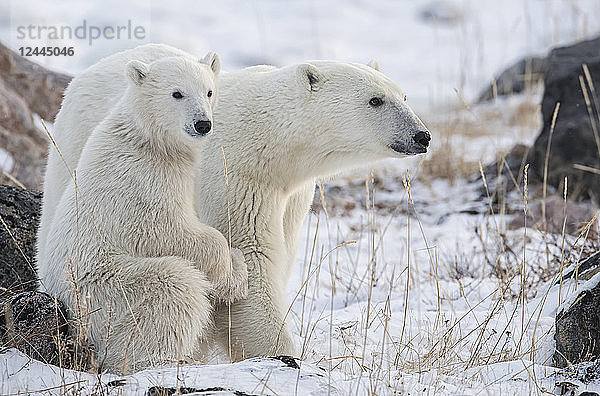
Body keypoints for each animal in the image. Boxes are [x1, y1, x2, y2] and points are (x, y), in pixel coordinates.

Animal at [38, 43, 432, 362]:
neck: (269, 138)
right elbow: (249, 254)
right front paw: (282, 353)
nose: (422, 135)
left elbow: (279, 252)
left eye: (404, 96)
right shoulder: (236, 175)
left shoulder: (292, 193)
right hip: (78, 152)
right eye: (375, 100)